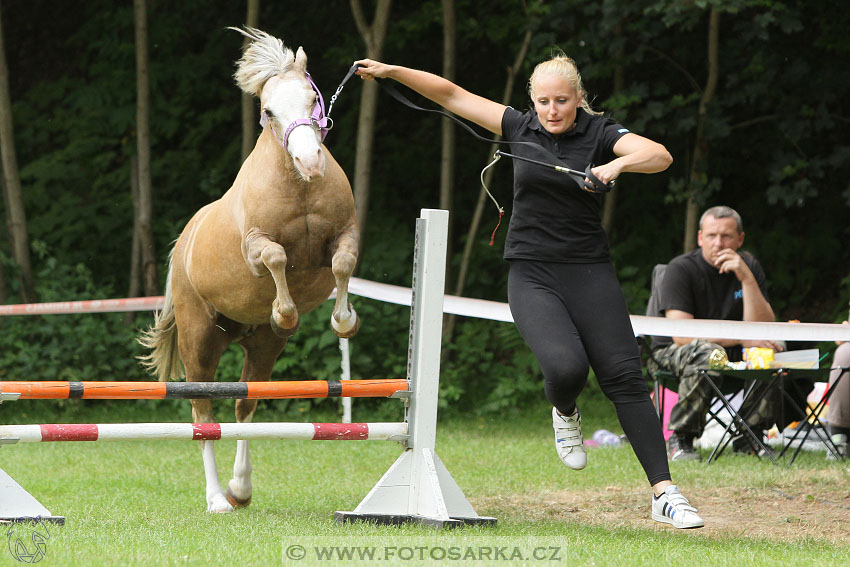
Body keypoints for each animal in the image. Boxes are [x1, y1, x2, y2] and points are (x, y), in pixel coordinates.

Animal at [139, 27, 358, 516]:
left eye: (313, 98)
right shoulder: (256, 247)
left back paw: (239, 490)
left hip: (259, 347)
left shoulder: (346, 235)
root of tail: (183, 245)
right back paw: (216, 499)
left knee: (244, 407)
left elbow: (342, 262)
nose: (311, 162)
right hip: (199, 340)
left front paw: (343, 320)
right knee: (203, 415)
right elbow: (276, 259)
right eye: (269, 110)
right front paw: (285, 311)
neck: (298, 187)